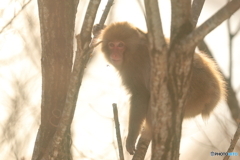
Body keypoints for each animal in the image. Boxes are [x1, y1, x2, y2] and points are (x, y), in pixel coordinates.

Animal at [98, 21, 226, 155]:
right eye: (111, 45)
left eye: (120, 45)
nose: (114, 54)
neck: (133, 50)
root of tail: (215, 96)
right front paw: (98, 28)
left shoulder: (132, 68)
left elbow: (140, 96)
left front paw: (131, 138)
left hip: (194, 96)